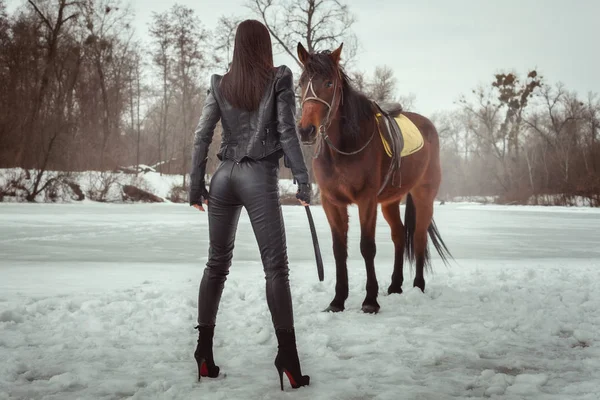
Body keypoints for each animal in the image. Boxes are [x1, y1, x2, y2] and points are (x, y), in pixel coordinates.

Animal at [296, 42, 450, 314]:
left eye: (329, 83)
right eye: (302, 82)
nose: (306, 130)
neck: (343, 148)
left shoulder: (366, 201)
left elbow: (367, 247)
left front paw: (370, 301)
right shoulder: (331, 203)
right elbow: (339, 250)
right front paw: (337, 301)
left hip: (423, 196)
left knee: (419, 237)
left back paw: (418, 286)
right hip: (390, 201)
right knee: (399, 235)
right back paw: (395, 285)